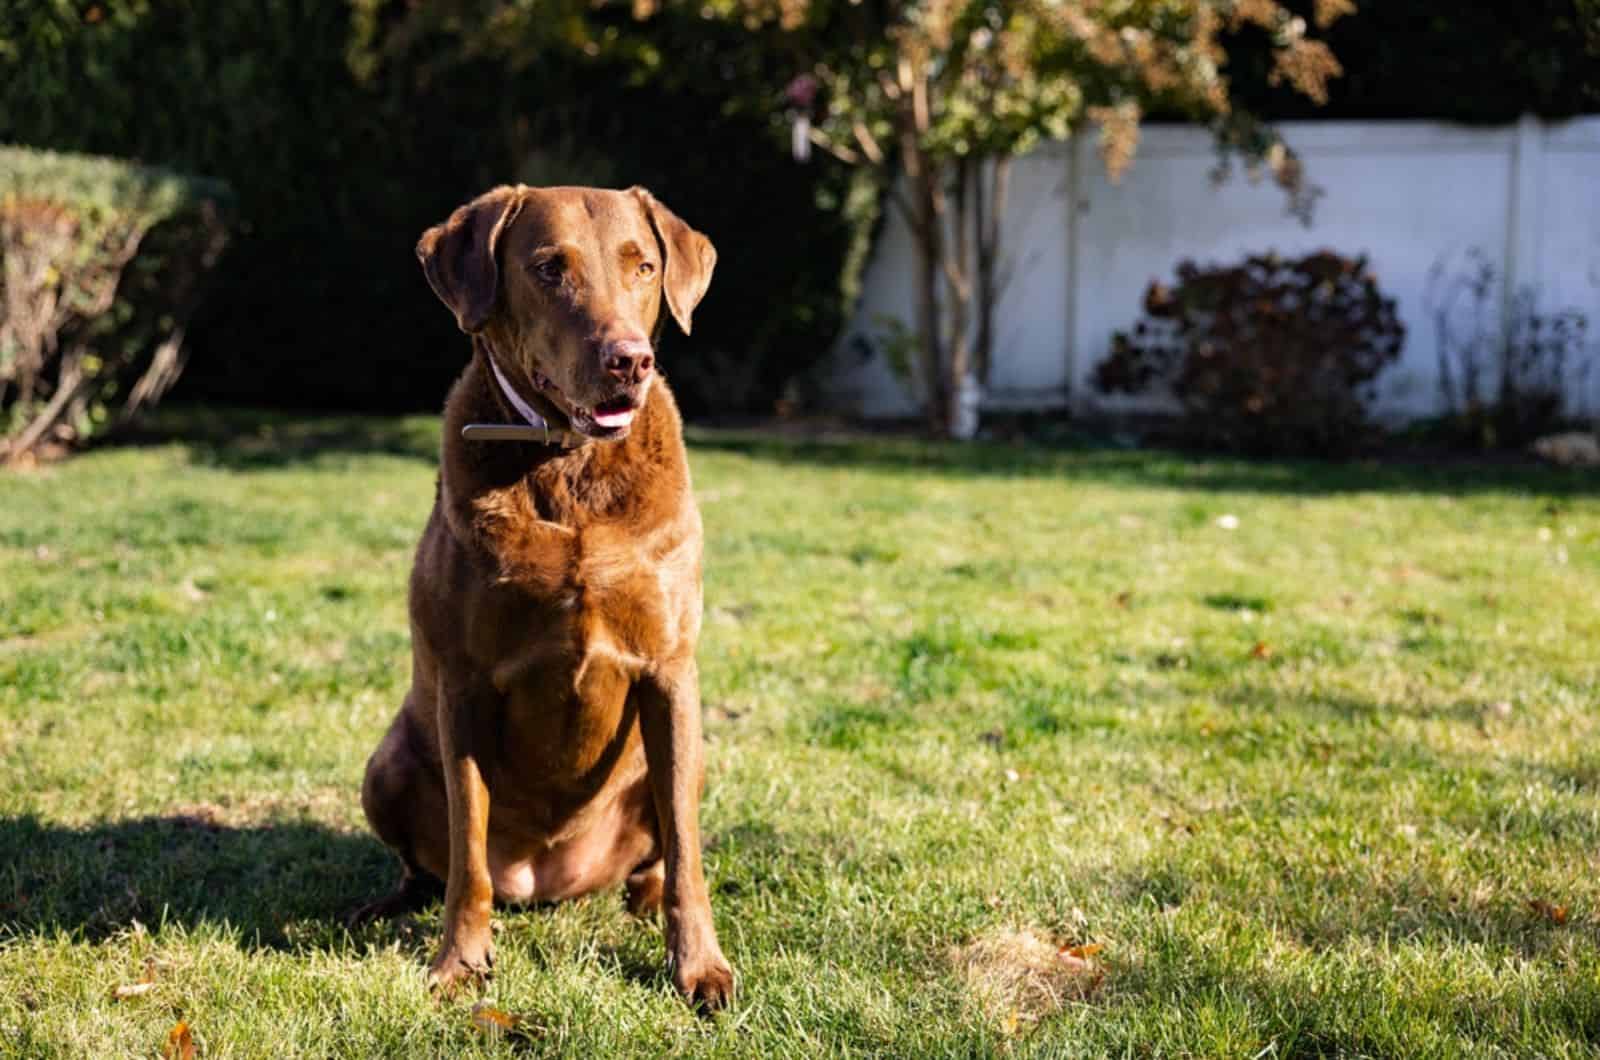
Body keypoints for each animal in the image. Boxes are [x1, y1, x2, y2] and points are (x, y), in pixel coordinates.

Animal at [353, 184, 732, 1011]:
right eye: (549, 269)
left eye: (643, 266)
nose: (630, 359)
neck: (569, 467)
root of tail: (549, 882)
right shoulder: (463, 683)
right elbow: (467, 852)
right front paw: (459, 961)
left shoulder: (669, 671)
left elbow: (689, 852)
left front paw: (699, 967)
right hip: (386, 765)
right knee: (431, 863)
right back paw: (387, 903)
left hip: (687, 756)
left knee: (667, 837)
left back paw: (642, 892)